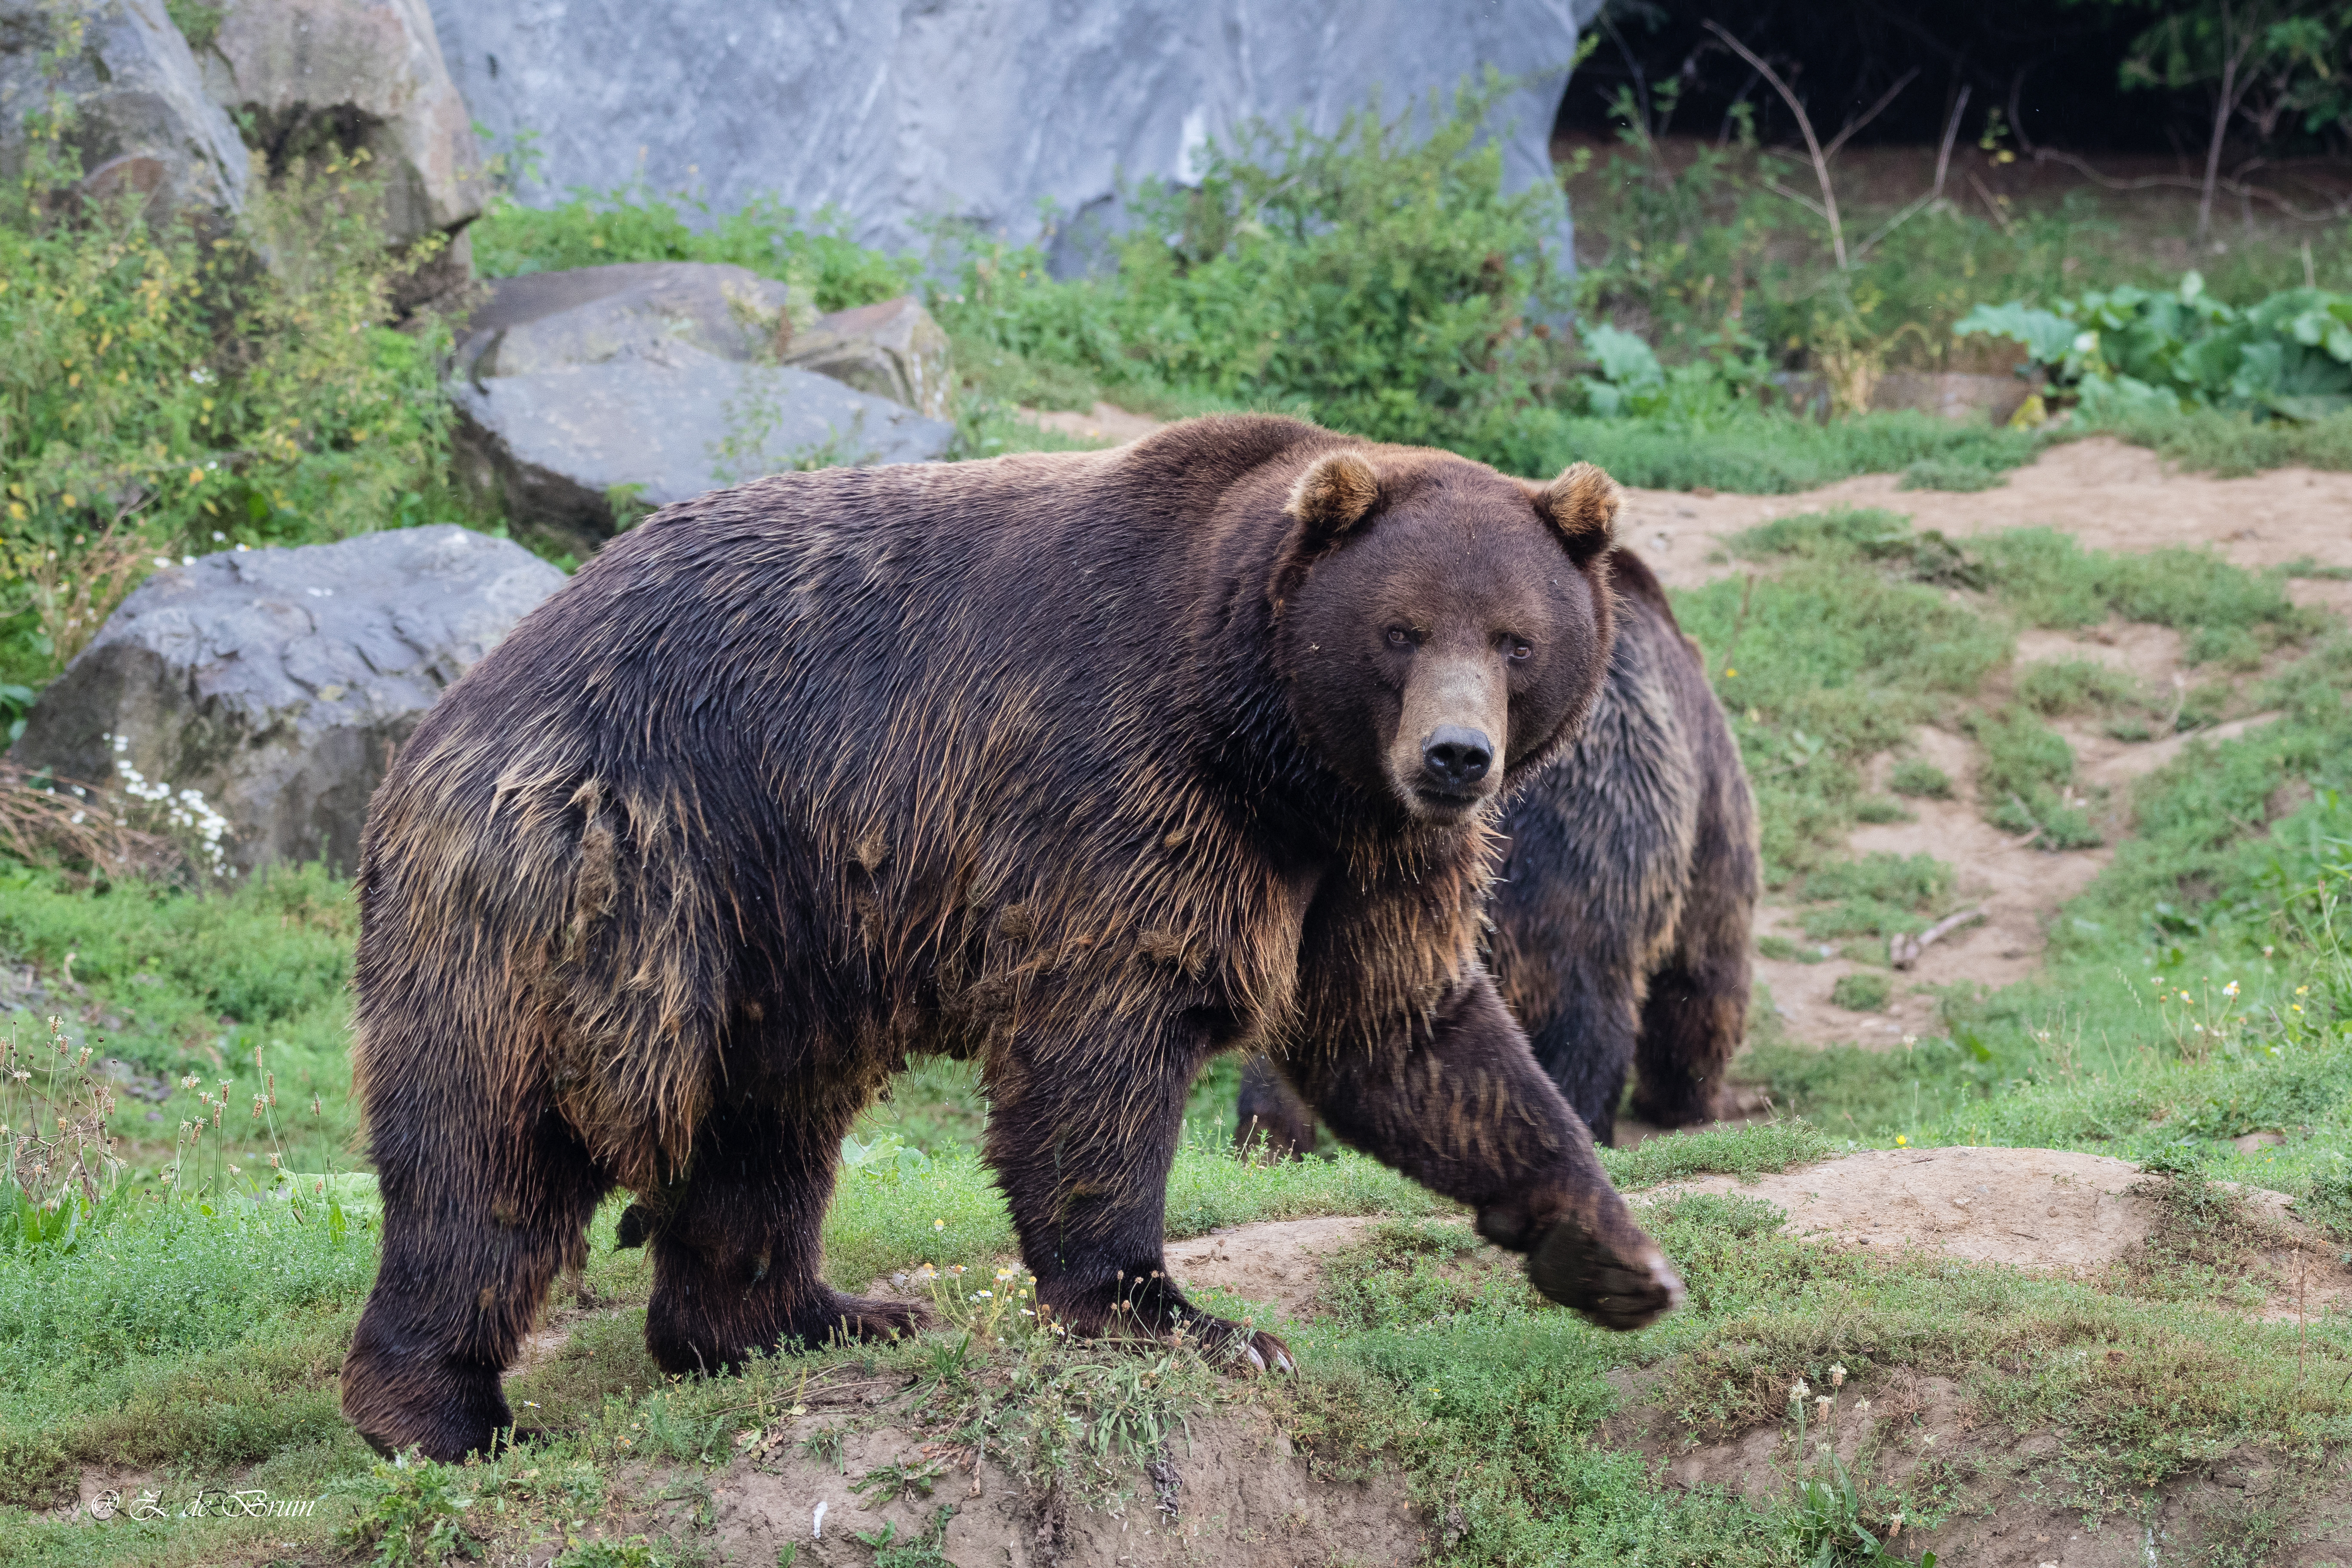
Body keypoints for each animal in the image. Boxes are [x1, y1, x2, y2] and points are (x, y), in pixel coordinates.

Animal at [341, 413, 1684, 1457]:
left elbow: (1413, 1037)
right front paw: (1177, 1314)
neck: (1275, 753)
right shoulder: (1121, 781)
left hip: (773, 926)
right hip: (603, 870)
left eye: (1516, 639)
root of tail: (459, 701)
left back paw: (805, 1317)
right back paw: (443, 1411)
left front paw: (1610, 1253)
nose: (1456, 757)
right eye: (1400, 631)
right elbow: (1106, 1046)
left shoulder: (1368, 867)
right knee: (497, 1144)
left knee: (763, 1133)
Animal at [1242, 552, 1759, 1152]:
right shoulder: (1705, 801)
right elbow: (1705, 965)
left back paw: (1269, 1136)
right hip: (1577, 861)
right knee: (1588, 1016)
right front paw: (1688, 1096)